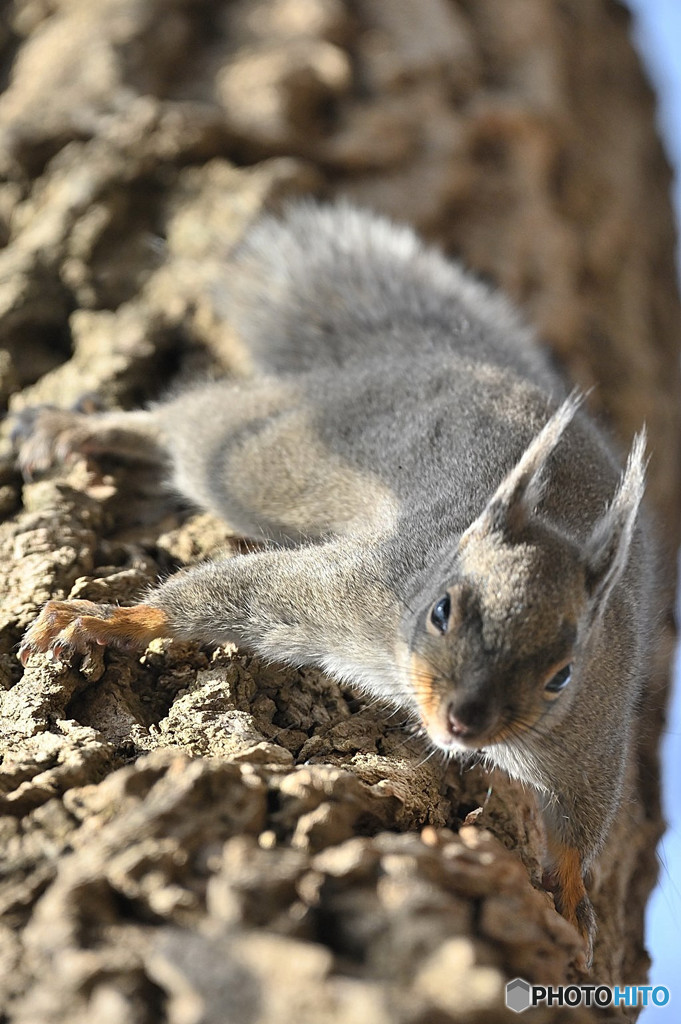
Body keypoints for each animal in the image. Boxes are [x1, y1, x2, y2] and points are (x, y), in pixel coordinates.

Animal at [17, 199, 655, 966]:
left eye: (562, 675)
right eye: (441, 611)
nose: (465, 722)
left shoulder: (590, 728)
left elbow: (580, 817)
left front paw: (570, 891)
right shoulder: (355, 590)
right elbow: (235, 594)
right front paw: (109, 621)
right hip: (268, 456)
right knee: (185, 425)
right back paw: (84, 429)